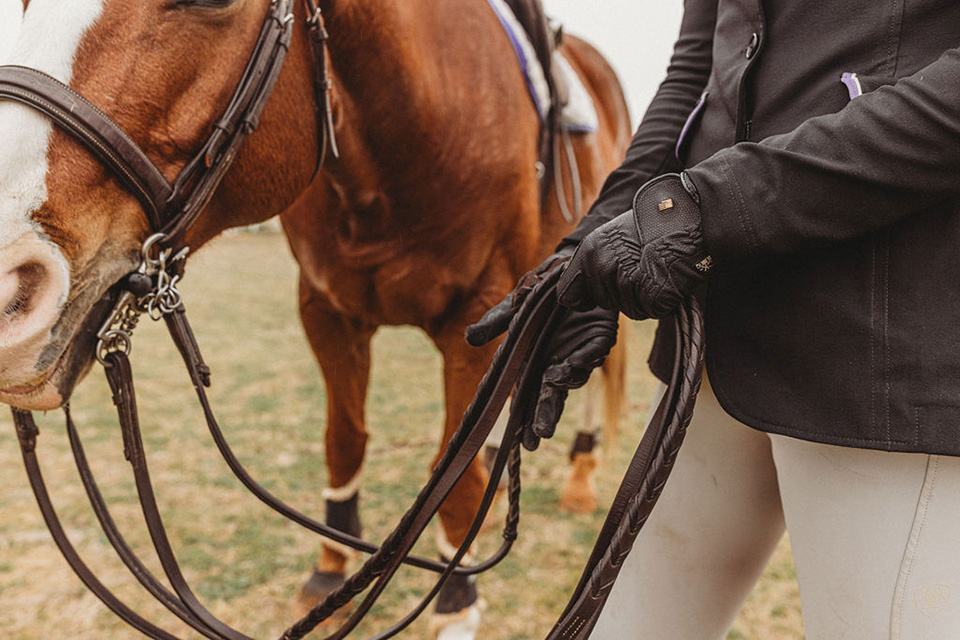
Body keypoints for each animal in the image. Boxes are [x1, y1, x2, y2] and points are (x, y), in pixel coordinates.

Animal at [0, 0, 632, 636]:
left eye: (212, 3)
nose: (6, 287)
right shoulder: (326, 313)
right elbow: (345, 441)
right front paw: (332, 574)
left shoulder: (476, 316)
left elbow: (453, 470)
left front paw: (456, 601)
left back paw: (582, 475)